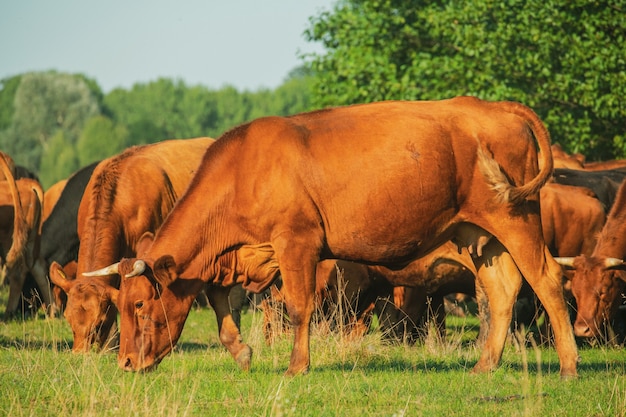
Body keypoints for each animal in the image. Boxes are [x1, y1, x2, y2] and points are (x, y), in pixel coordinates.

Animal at [91, 97, 576, 376]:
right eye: (119, 302)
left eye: (139, 304)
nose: (125, 362)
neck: (242, 172)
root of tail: (491, 105)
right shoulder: (238, 256)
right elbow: (217, 300)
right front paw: (242, 352)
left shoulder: (296, 243)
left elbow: (297, 307)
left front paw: (296, 367)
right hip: (479, 234)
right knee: (502, 289)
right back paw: (484, 366)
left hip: (515, 217)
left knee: (546, 280)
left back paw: (569, 365)